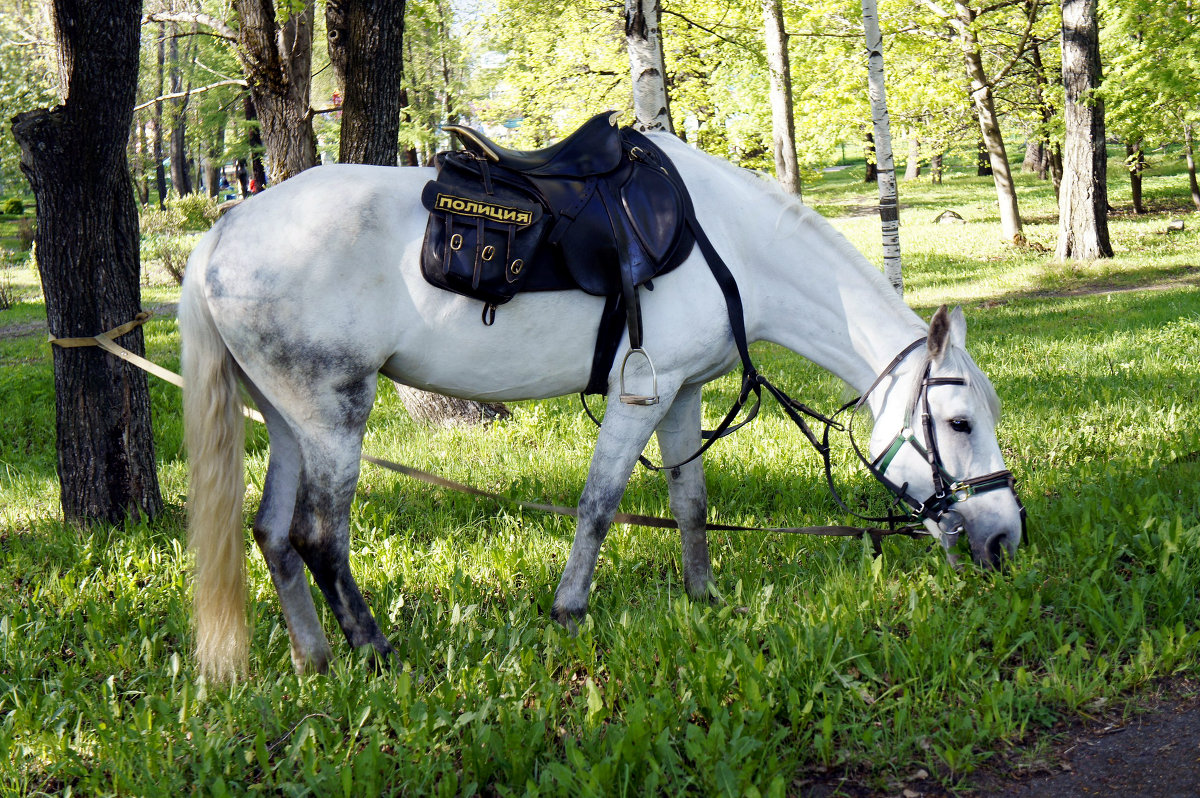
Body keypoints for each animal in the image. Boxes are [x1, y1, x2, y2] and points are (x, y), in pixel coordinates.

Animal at [182, 132, 1027, 676]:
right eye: (959, 423)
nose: (1005, 539)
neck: (730, 245)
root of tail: (222, 234)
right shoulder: (640, 395)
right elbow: (599, 502)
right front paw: (569, 610)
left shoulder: (684, 391)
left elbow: (688, 501)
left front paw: (704, 596)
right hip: (334, 414)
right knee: (318, 537)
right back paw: (374, 651)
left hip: (287, 419)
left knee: (273, 536)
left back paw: (316, 660)